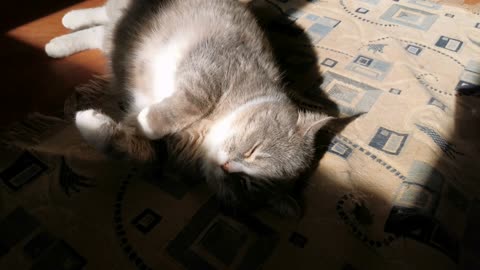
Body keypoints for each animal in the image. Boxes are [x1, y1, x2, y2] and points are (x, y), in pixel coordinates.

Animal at [47, 0, 336, 215]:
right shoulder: (211, 70)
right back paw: (68, 23)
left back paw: (61, 39)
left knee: (102, 32)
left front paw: (96, 122)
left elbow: (132, 150)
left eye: (245, 184)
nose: (227, 167)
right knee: (104, 14)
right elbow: (192, 100)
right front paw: (147, 120)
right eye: (254, 150)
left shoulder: (162, 155)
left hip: (118, 36)